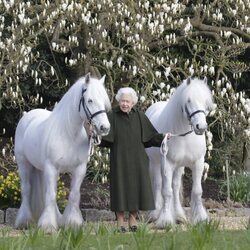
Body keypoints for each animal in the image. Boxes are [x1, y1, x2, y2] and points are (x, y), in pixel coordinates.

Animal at [14, 73, 110, 231]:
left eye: (104, 101)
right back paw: (24, 221)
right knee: (26, 190)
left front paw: (72, 223)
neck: (69, 134)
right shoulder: (52, 168)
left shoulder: (79, 169)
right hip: (24, 164)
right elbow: (51, 195)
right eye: (90, 100)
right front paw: (48, 226)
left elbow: (74, 195)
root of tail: (28, 115)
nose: (105, 127)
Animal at [146, 77, 214, 228]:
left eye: (206, 101)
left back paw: (178, 215)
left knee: (176, 187)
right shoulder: (167, 164)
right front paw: (165, 221)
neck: (184, 136)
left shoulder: (198, 163)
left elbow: (196, 191)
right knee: (158, 185)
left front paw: (201, 218)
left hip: (179, 167)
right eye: (188, 100)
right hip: (155, 163)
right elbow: (166, 192)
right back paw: (155, 213)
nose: (201, 127)